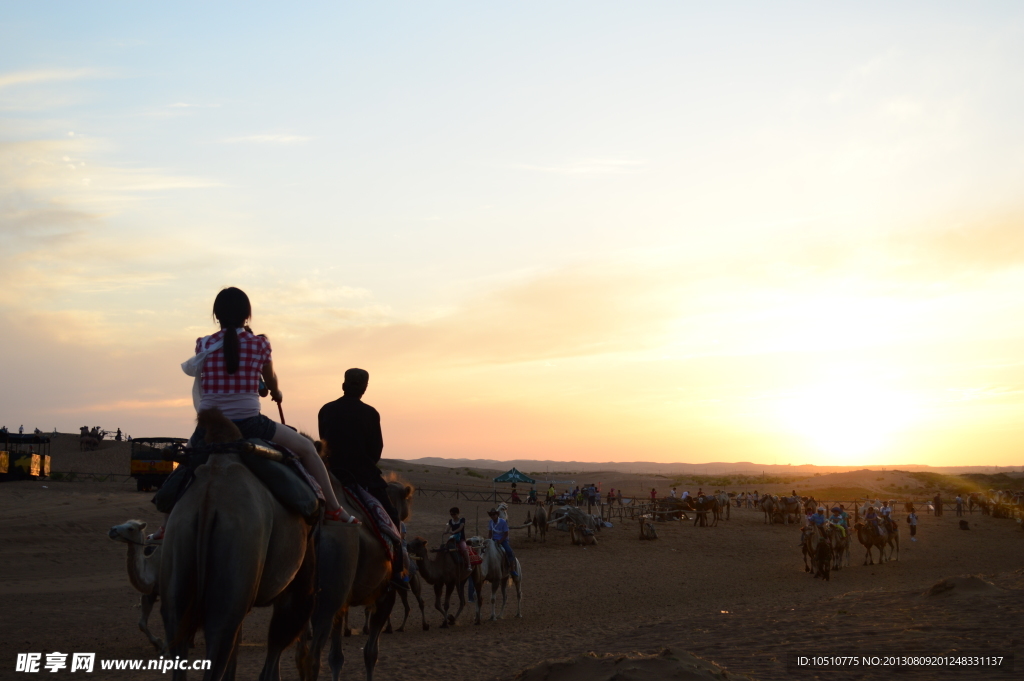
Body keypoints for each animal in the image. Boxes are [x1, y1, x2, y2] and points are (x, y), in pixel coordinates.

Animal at [108, 518, 163, 651]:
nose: (112, 530)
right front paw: (158, 643)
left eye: (131, 528)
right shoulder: (149, 593)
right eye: (124, 523)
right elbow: (141, 624)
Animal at [155, 409, 313, 679]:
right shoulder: (297, 585)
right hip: (234, 568)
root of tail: (209, 501)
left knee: (179, 632)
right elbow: (277, 642)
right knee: (221, 635)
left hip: (179, 557)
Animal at [294, 477, 413, 679]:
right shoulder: (386, 595)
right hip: (326, 600)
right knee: (311, 658)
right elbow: (371, 653)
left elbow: (336, 657)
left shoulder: (342, 604)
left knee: (300, 655)